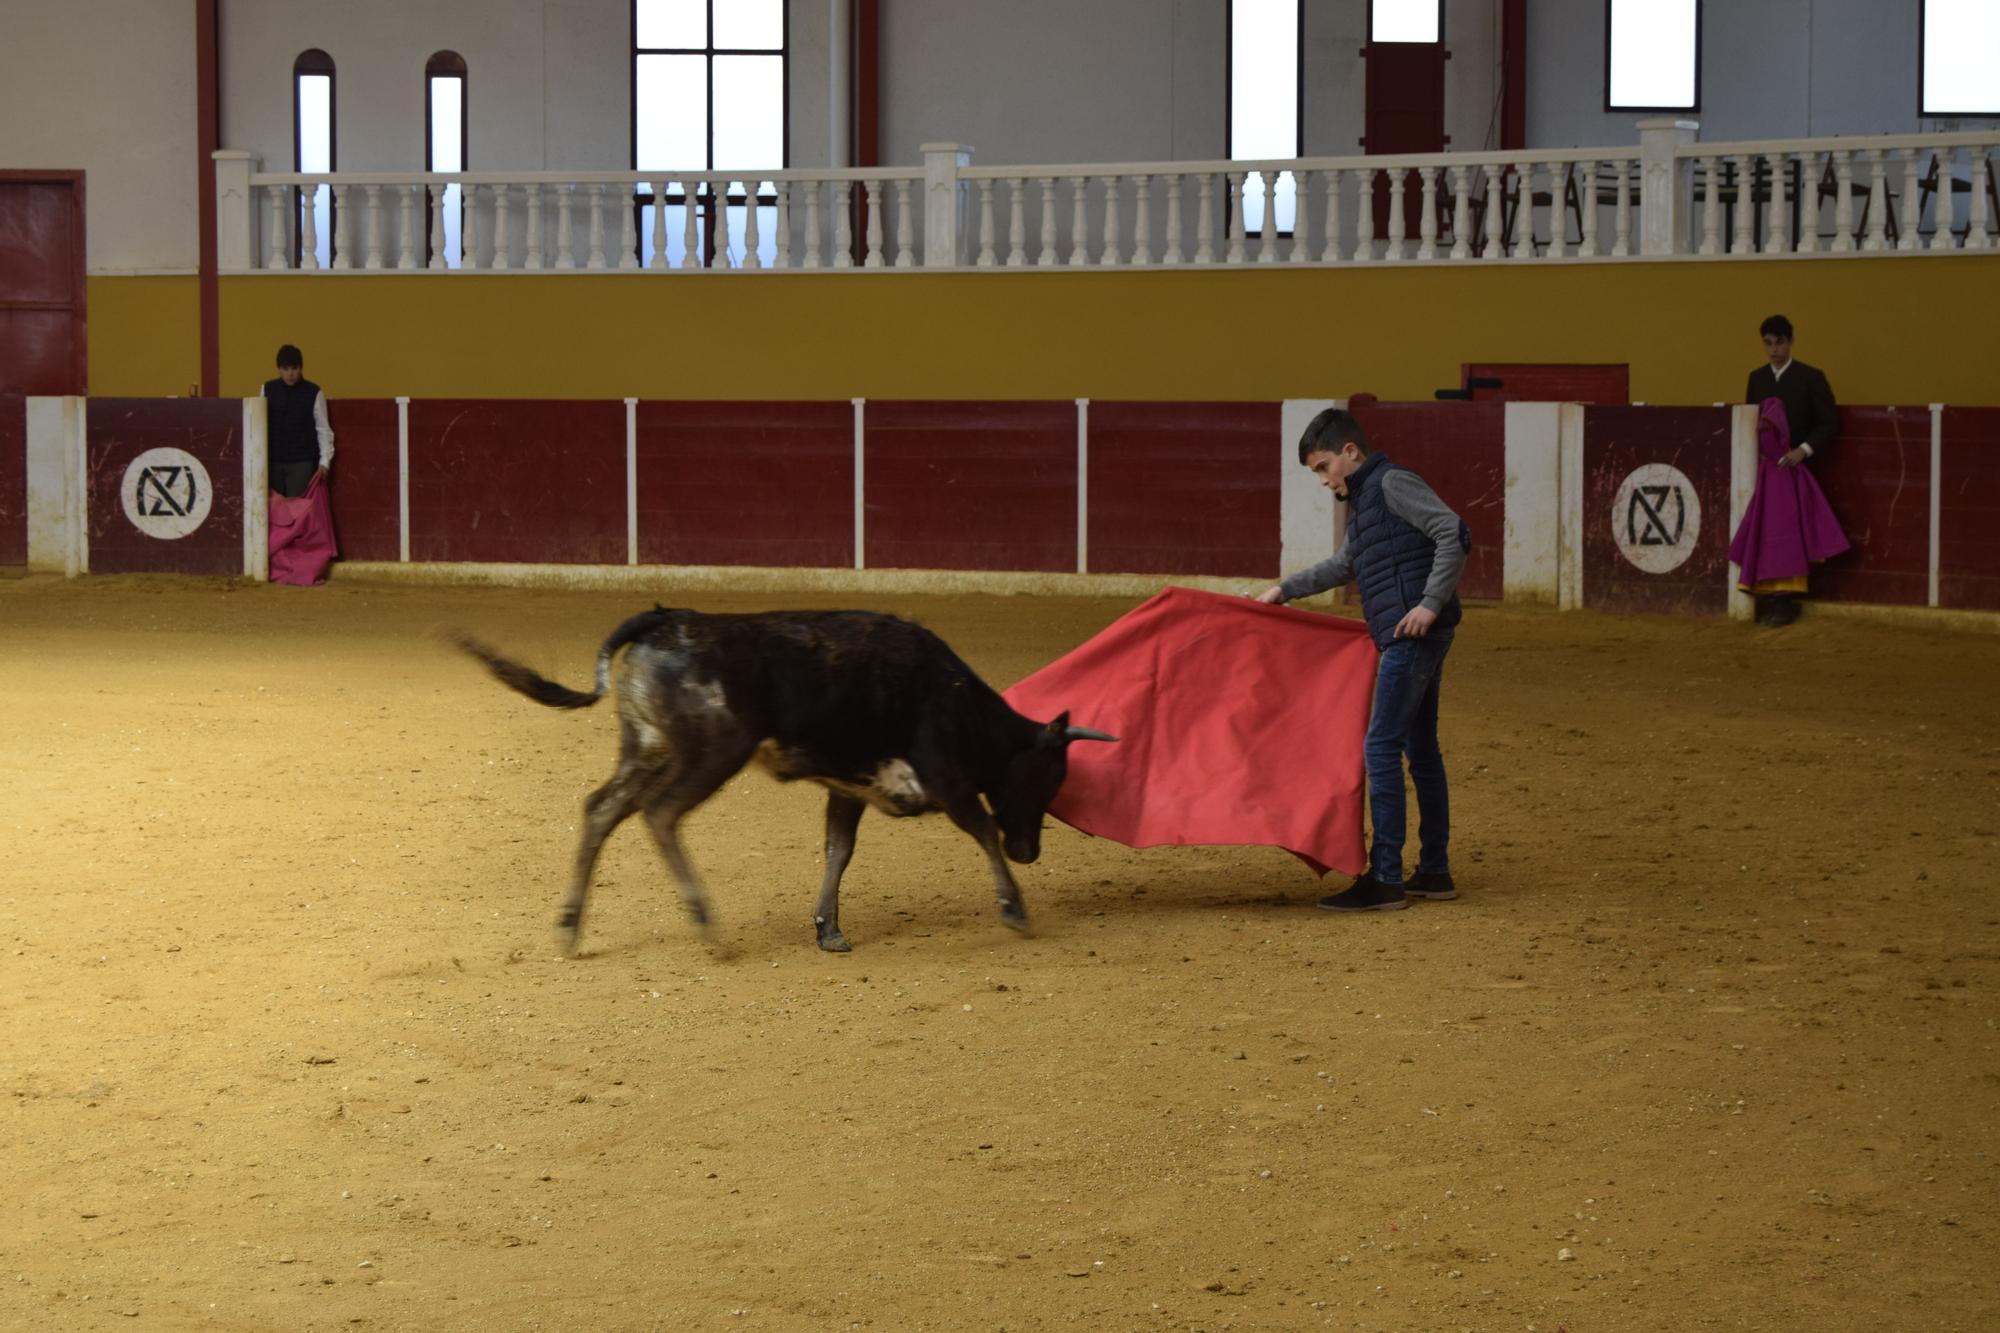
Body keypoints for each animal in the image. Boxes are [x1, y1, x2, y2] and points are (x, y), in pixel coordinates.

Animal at [450, 600, 1112, 944]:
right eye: (1048, 775)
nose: (1030, 851)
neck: (961, 704)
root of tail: (672, 619)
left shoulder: (850, 789)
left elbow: (838, 850)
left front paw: (828, 929)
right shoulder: (947, 780)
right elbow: (980, 830)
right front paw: (1014, 908)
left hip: (646, 748)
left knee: (601, 809)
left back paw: (570, 926)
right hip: (709, 755)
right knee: (660, 814)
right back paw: (704, 920)